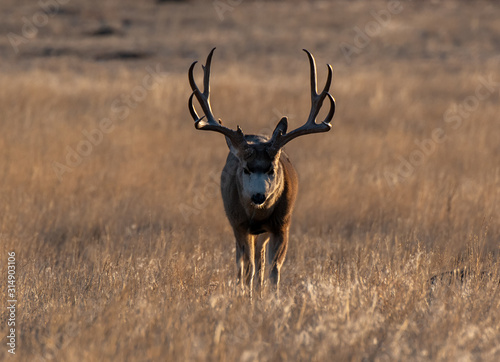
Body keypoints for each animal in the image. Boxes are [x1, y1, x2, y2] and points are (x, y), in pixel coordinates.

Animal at [188, 48, 336, 296]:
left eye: (271, 169)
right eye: (246, 169)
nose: (259, 196)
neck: (257, 215)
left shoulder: (282, 225)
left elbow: (274, 268)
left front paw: (270, 296)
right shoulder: (239, 224)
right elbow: (246, 265)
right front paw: (245, 295)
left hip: (265, 232)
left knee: (261, 259)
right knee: (243, 260)